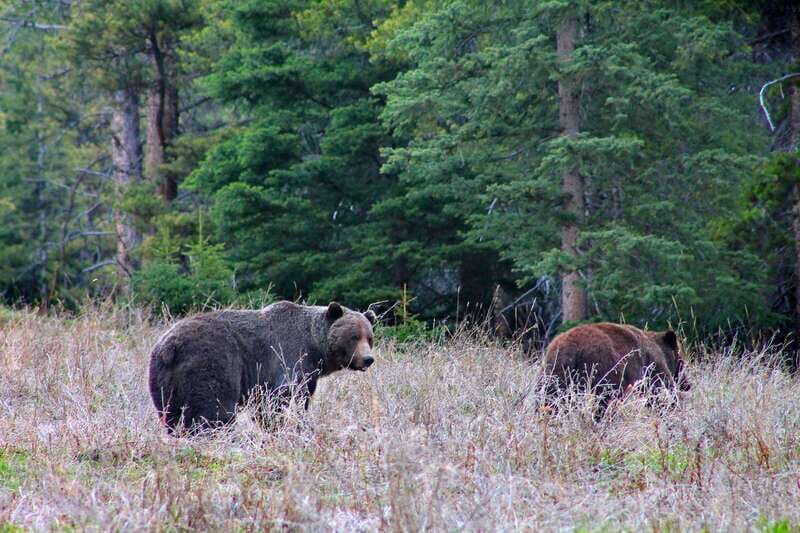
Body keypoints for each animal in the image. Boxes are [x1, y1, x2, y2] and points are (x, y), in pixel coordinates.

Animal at [148, 301, 377, 434]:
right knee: (215, 410)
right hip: (210, 363)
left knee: (172, 413)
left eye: (369, 337)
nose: (368, 359)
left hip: (165, 379)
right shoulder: (286, 359)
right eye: (354, 336)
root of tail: (169, 346)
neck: (314, 348)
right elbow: (276, 401)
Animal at [542, 322, 690, 409]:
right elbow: (660, 391)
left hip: (553, 372)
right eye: (681, 361)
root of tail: (571, 349)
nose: (687, 384)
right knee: (605, 400)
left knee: (549, 400)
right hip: (603, 370)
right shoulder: (653, 365)